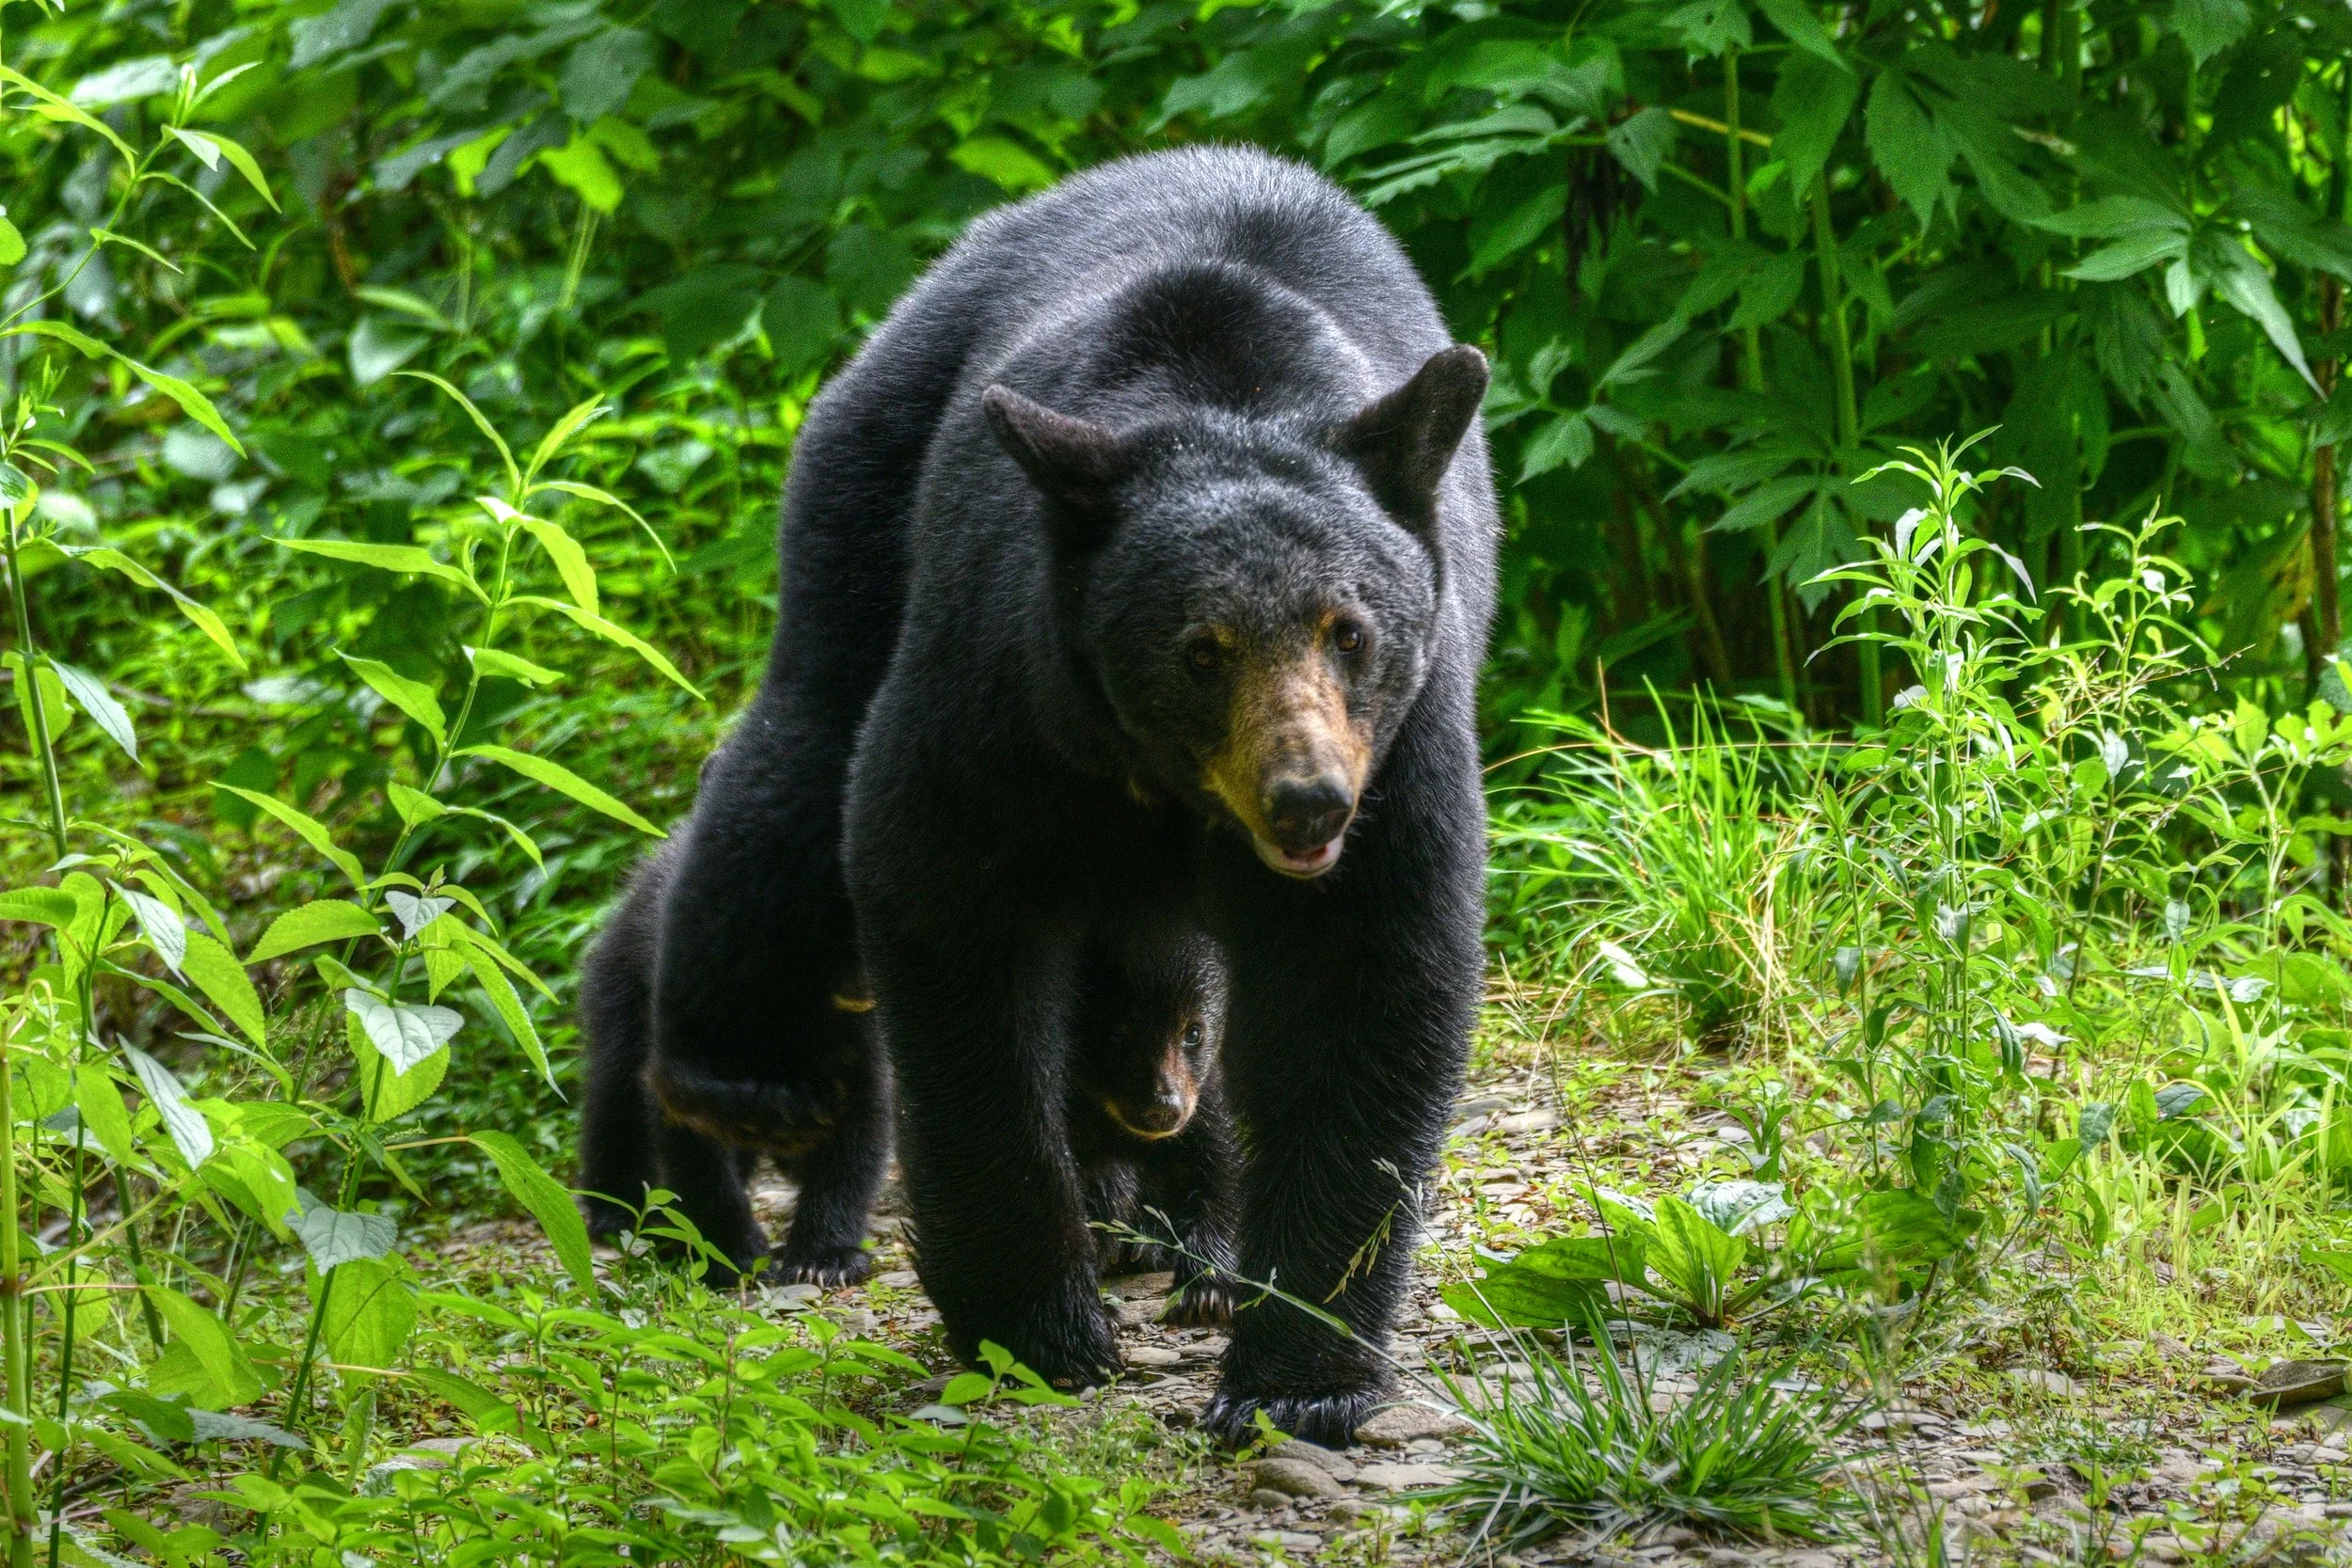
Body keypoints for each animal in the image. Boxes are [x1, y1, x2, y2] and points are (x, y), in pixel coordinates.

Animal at [626, 145, 1495, 1447]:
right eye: (1202, 647)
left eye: (1349, 627)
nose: (1306, 804)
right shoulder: (1003, 694)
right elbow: (954, 932)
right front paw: (1037, 1321)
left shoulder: (1403, 752)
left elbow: (1362, 984)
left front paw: (1294, 1367)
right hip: (867, 476)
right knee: (797, 746)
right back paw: (742, 1069)